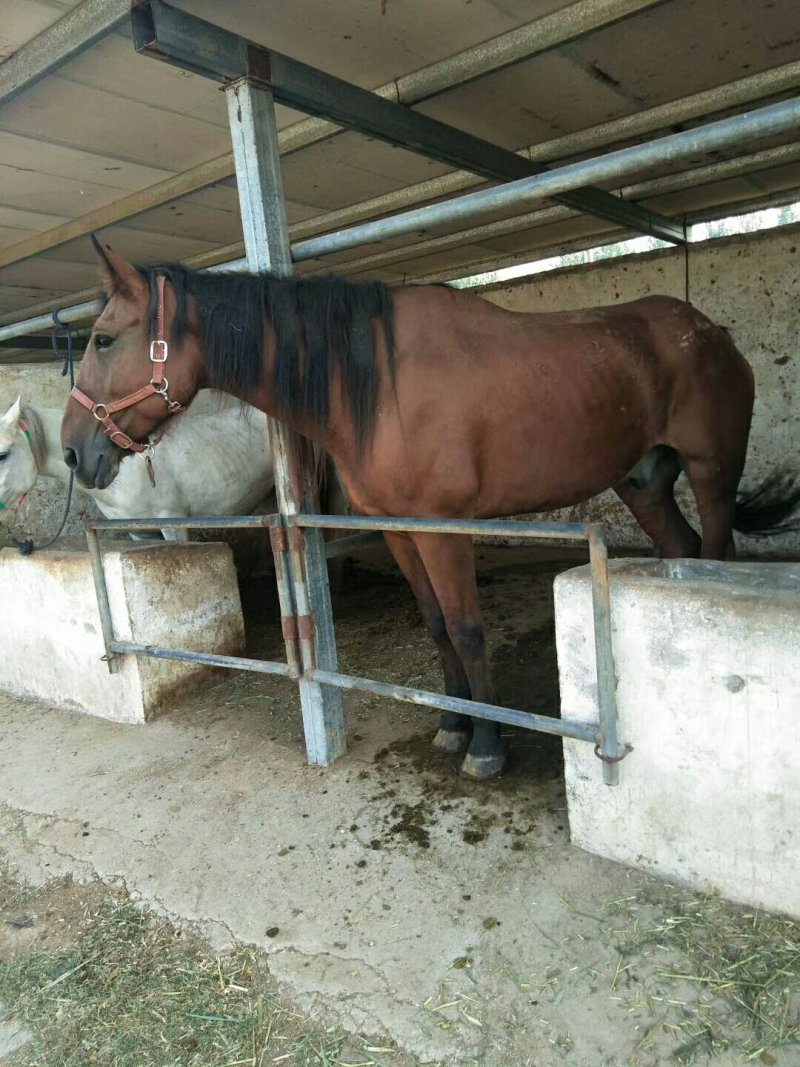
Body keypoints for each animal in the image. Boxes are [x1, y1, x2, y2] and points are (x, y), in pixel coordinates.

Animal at [61, 241, 800, 780]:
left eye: (103, 339)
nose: (74, 452)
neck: (373, 384)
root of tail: (710, 332)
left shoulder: (443, 530)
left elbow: (468, 629)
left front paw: (489, 747)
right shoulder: (398, 529)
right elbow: (437, 624)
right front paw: (452, 725)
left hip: (712, 472)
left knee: (715, 552)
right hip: (643, 482)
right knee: (680, 545)